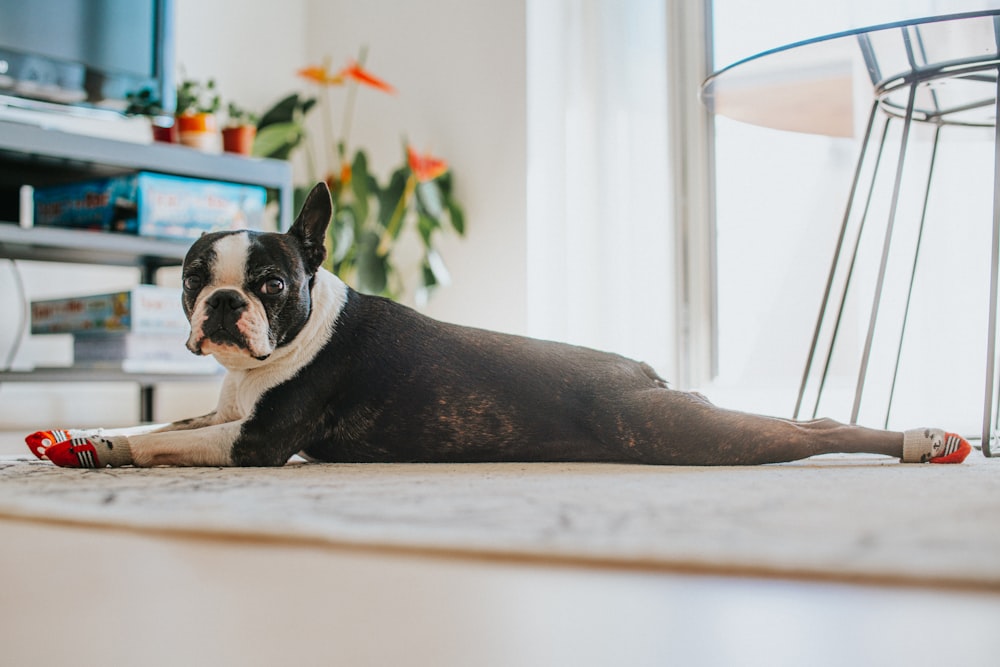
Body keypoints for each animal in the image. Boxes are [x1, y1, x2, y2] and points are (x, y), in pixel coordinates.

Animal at [29, 180, 968, 468]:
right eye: (194, 277)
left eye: (271, 283)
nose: (225, 306)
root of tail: (642, 372)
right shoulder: (223, 410)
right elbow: (163, 422)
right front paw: (90, 438)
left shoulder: (256, 441)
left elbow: (172, 443)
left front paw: (116, 450)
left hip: (685, 432)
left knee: (811, 430)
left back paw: (921, 438)